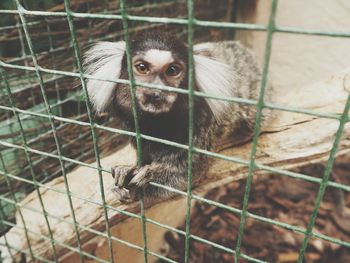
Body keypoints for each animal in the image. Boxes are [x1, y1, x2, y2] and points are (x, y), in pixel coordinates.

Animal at [84, 31, 270, 204]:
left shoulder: (199, 125)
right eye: (142, 67)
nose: (155, 91)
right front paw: (125, 170)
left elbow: (185, 175)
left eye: (172, 70)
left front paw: (144, 183)